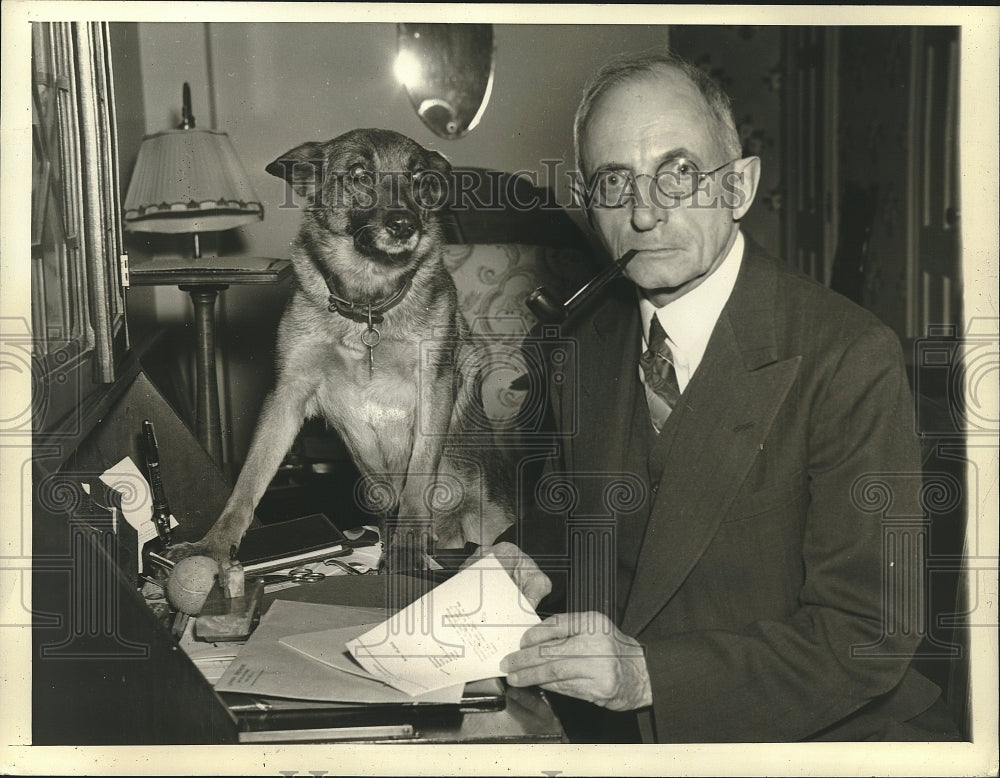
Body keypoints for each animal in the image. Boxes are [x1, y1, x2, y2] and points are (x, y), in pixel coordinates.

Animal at [171, 129, 512, 568]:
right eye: (359, 174)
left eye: (419, 179)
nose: (405, 225)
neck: (367, 309)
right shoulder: (287, 395)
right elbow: (248, 482)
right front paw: (213, 547)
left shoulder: (433, 389)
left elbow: (419, 476)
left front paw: (407, 548)